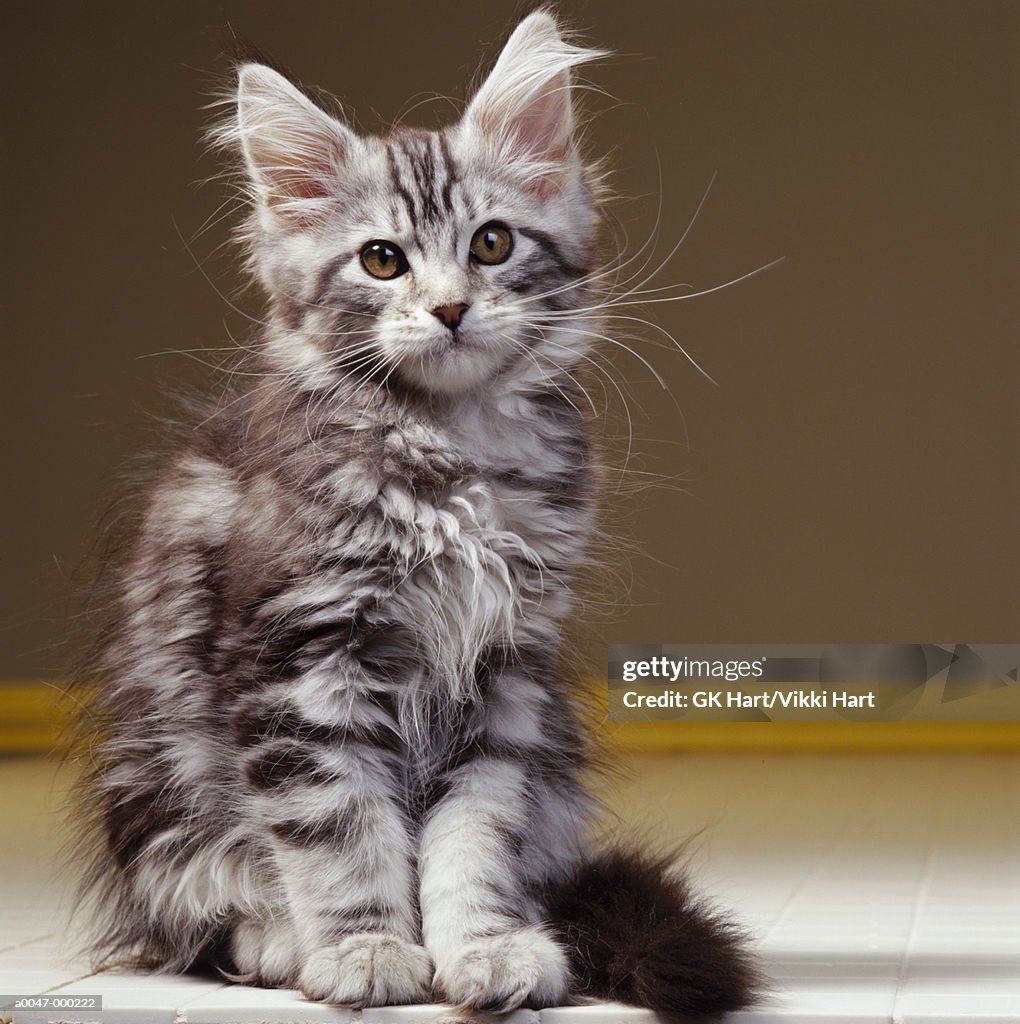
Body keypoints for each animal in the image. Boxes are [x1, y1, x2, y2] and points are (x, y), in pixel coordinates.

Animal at [71, 12, 757, 1019]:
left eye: (493, 244)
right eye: (382, 260)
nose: (450, 309)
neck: (450, 450)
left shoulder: (505, 671)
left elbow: (475, 834)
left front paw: (486, 948)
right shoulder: (302, 660)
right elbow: (341, 831)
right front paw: (365, 950)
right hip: (160, 787)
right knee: (196, 911)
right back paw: (279, 941)